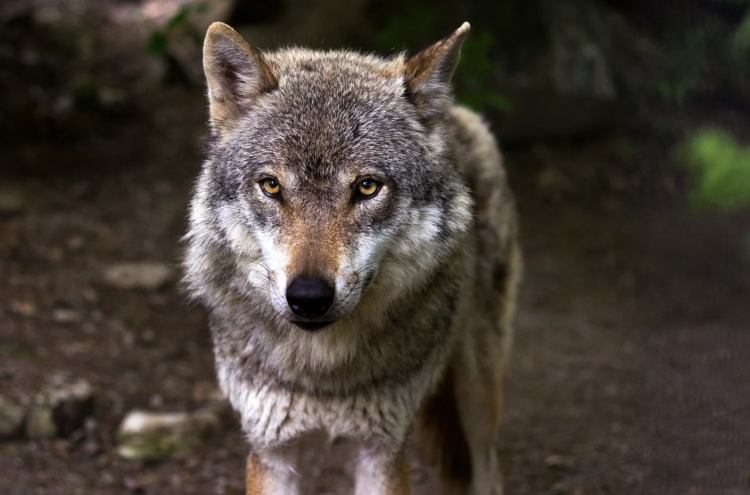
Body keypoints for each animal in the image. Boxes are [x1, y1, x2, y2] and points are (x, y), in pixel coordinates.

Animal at [183, 20, 521, 495]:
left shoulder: (383, 449)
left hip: (477, 393)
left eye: (366, 187)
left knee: (489, 468)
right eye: (271, 186)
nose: (308, 297)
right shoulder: (271, 450)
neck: (323, 373)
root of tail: (456, 113)